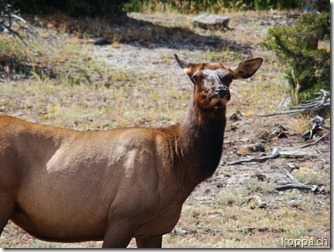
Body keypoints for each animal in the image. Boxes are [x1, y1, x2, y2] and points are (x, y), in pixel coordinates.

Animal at [0, 53, 262, 248]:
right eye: (196, 76)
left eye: (228, 77)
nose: (221, 92)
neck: (178, 168)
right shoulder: (122, 216)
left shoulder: (154, 228)